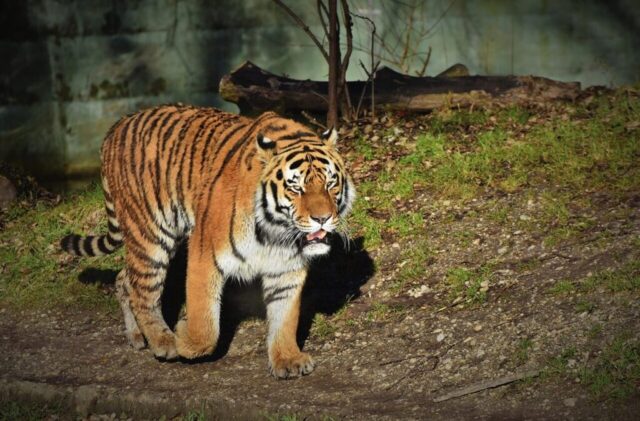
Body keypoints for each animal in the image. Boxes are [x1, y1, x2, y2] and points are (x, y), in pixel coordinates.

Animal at [60, 104, 355, 378]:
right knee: (143, 292)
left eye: (330, 183)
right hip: (151, 235)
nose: (322, 218)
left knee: (125, 278)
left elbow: (285, 317)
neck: (276, 231)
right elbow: (206, 325)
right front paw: (183, 337)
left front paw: (287, 359)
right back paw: (163, 341)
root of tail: (117, 126)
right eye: (296, 188)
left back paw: (136, 336)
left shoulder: (286, 268)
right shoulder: (205, 253)